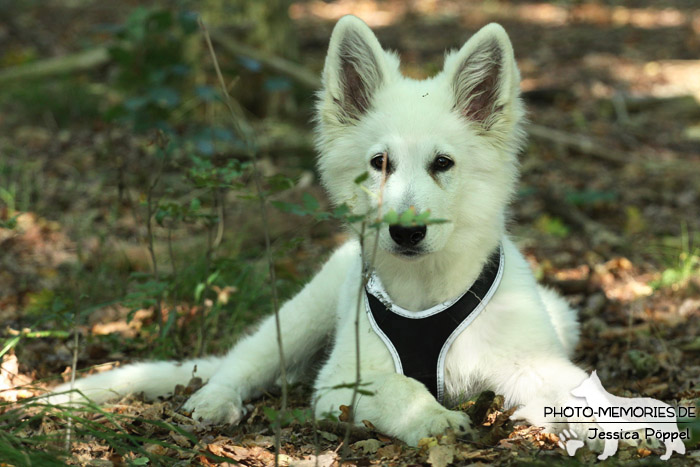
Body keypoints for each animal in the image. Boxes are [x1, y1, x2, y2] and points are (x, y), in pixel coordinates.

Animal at [49, 13, 592, 446]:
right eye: (379, 163)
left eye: (443, 163)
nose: (406, 234)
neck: (424, 291)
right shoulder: (342, 381)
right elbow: (402, 388)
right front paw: (433, 419)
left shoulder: (533, 362)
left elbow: (584, 393)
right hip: (299, 319)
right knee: (242, 362)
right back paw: (214, 400)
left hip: (562, 316)